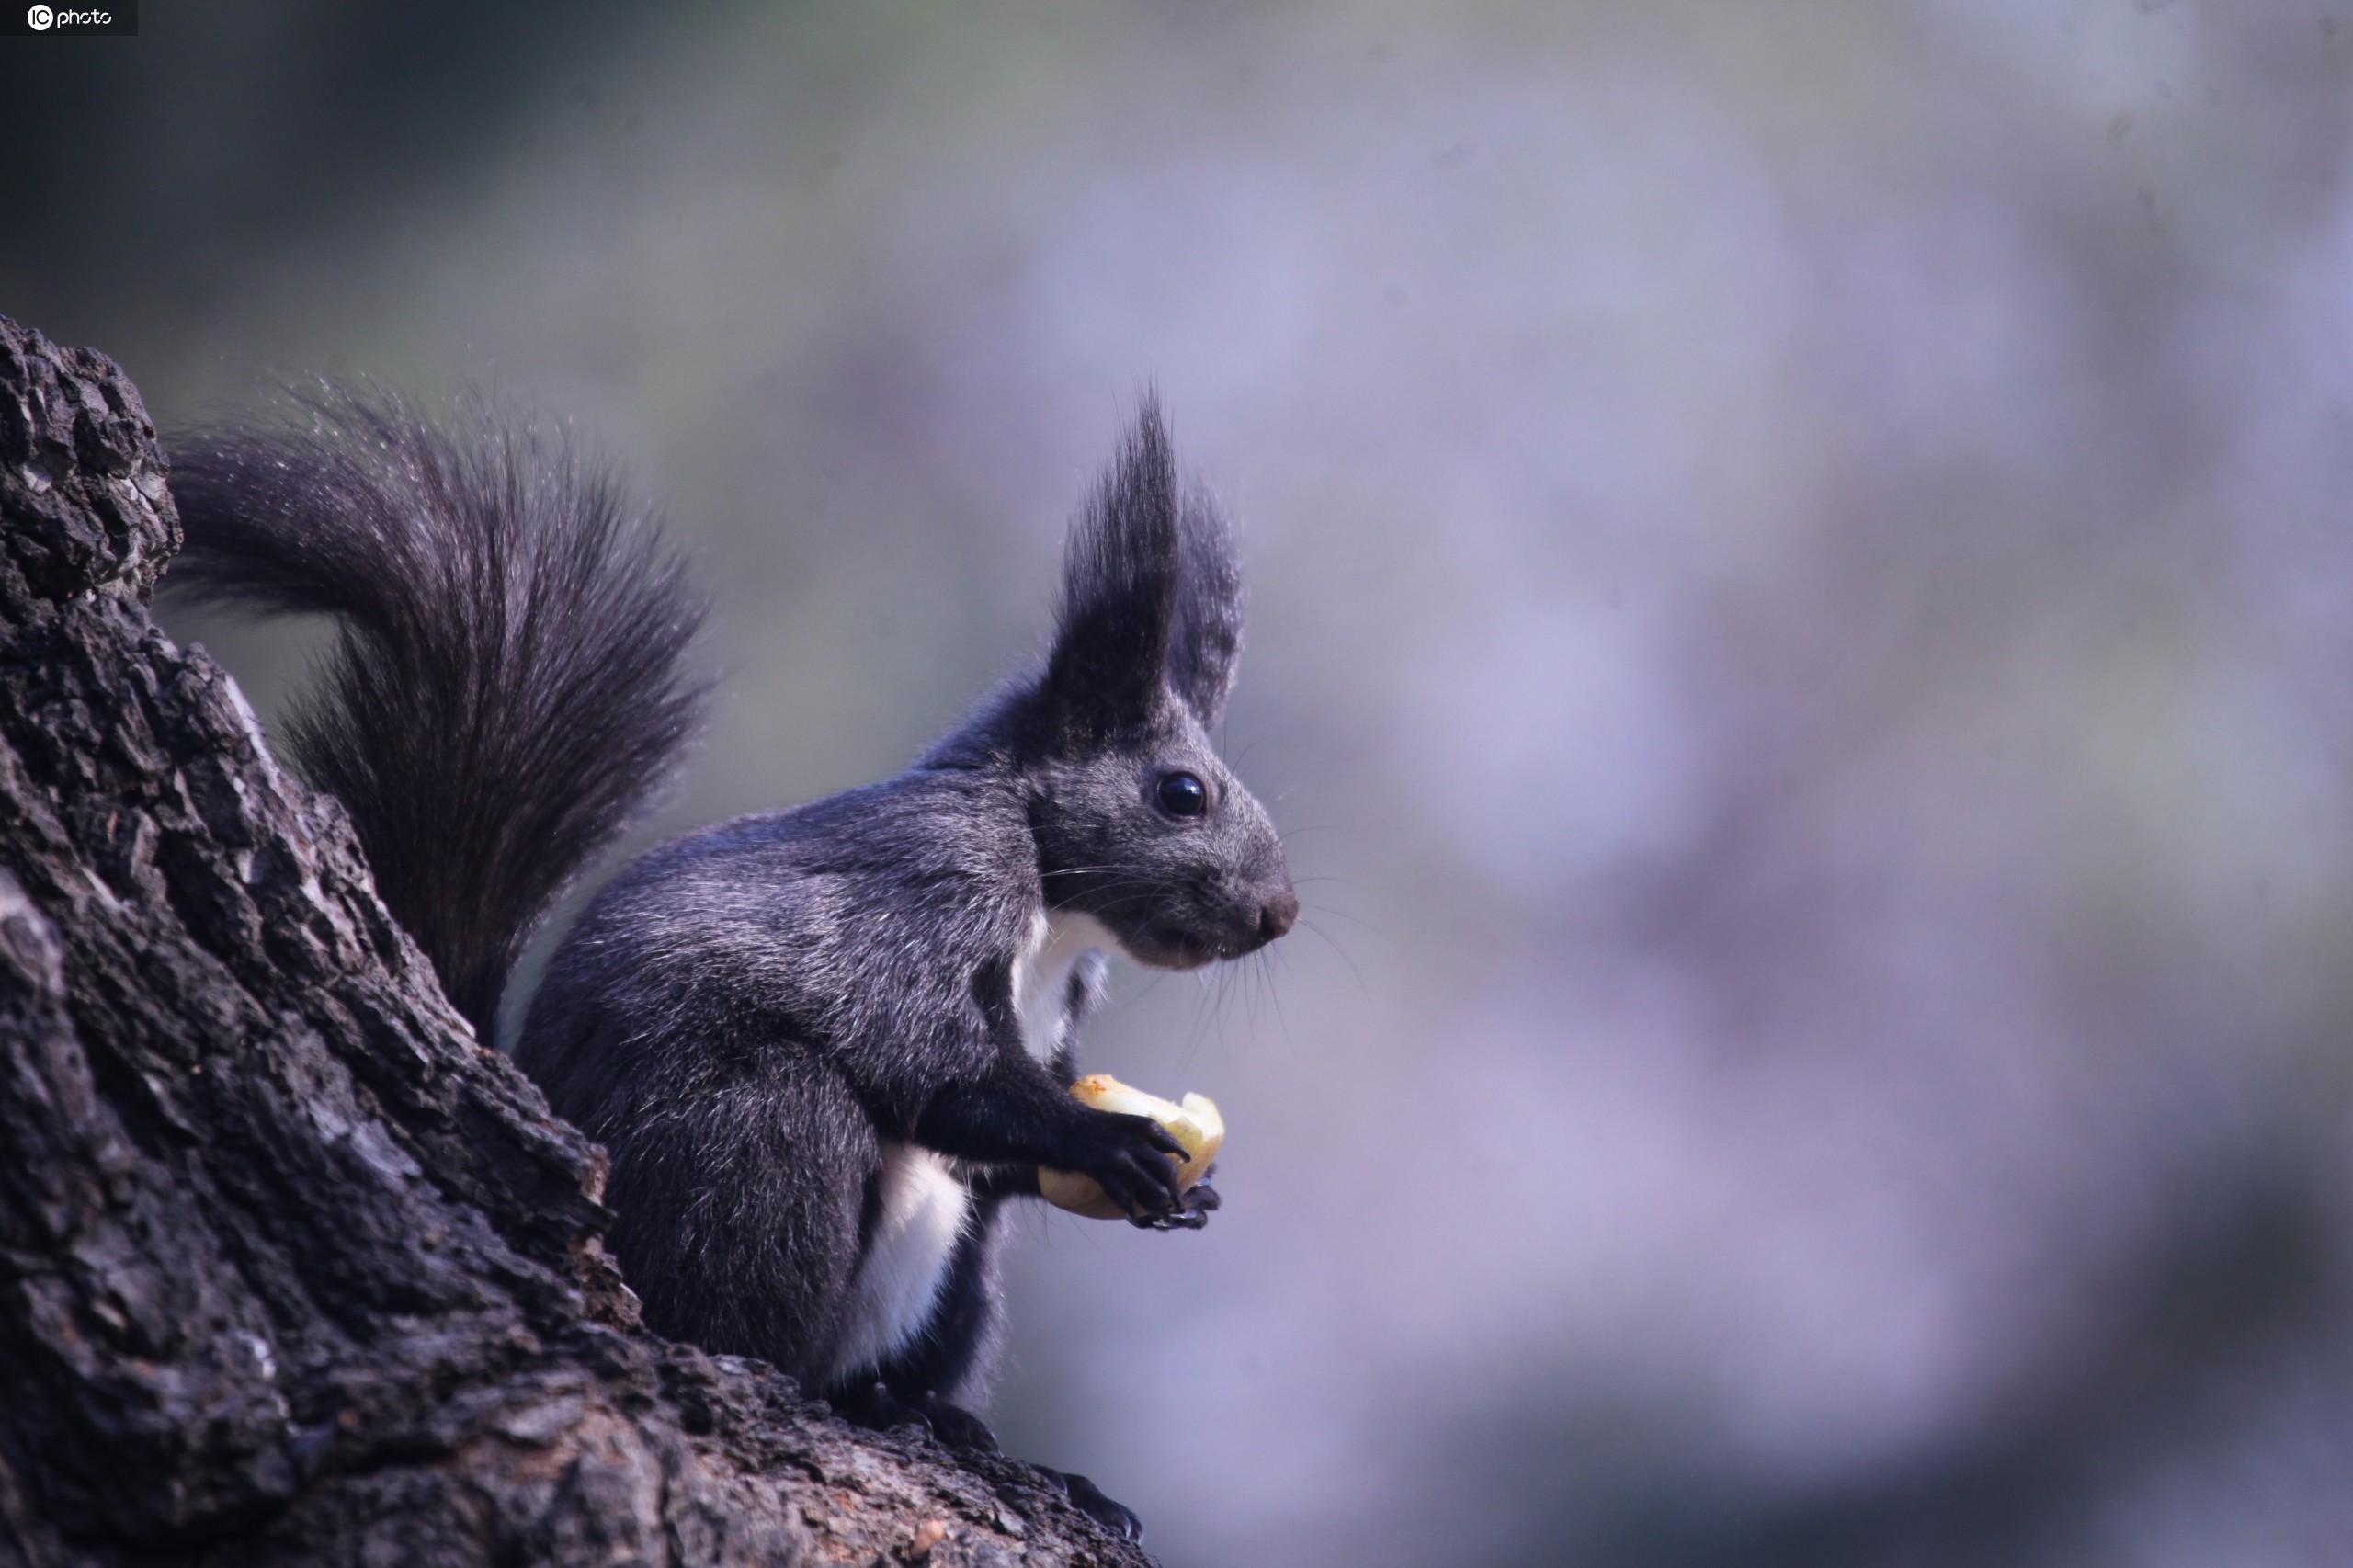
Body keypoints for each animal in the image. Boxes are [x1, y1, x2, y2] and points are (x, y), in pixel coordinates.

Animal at [165, 383, 1299, 1535]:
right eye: (1181, 793)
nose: (1279, 911)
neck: (1055, 900)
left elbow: (996, 1140)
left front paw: (1180, 1184)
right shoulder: (926, 889)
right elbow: (934, 1068)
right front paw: (1104, 1138)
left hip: (952, 1268)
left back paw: (965, 1432)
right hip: (752, 1140)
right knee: (758, 1290)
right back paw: (865, 1405)